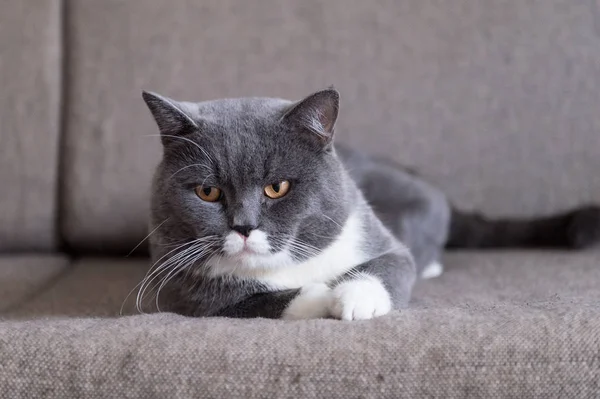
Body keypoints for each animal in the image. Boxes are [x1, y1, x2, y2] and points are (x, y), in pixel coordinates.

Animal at [139, 87, 600, 322]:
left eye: (277, 188)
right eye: (207, 192)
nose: (244, 226)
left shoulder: (372, 232)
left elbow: (392, 264)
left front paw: (356, 298)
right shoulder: (185, 288)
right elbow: (254, 300)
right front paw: (326, 297)